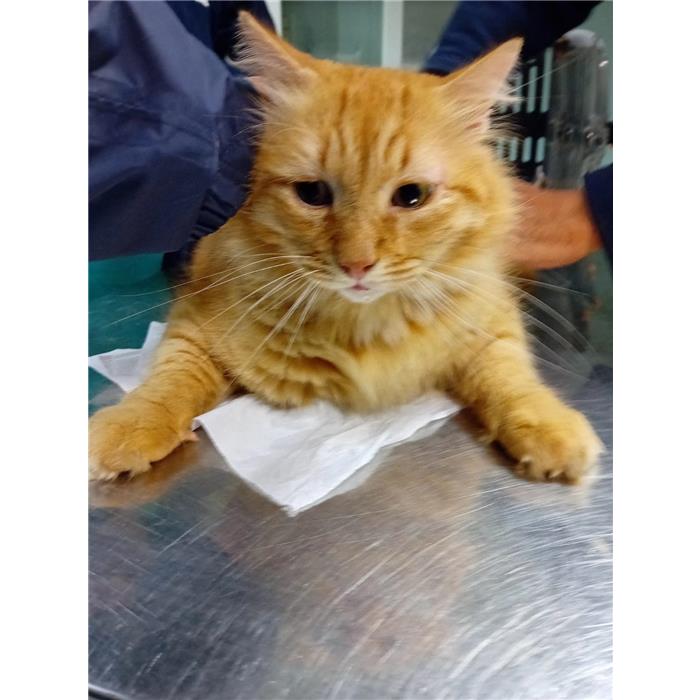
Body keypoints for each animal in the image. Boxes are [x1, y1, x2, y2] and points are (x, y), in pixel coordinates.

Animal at [89, 12, 602, 483]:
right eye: (313, 193)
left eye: (411, 196)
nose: (358, 264)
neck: (363, 330)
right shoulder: (193, 323)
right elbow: (171, 380)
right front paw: (129, 426)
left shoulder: (492, 319)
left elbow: (511, 377)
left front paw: (550, 426)